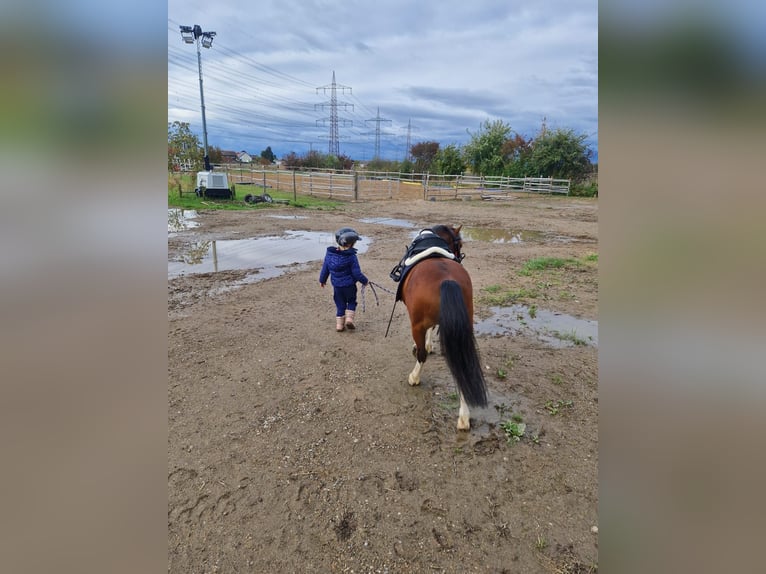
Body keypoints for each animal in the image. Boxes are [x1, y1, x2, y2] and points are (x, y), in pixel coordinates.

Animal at [400, 225, 488, 432]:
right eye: (460, 243)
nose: (460, 256)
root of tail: (448, 280)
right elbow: (433, 328)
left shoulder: (420, 322)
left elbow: (425, 341)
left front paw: (424, 346)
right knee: (462, 367)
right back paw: (464, 417)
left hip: (417, 325)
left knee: (422, 356)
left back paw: (414, 377)